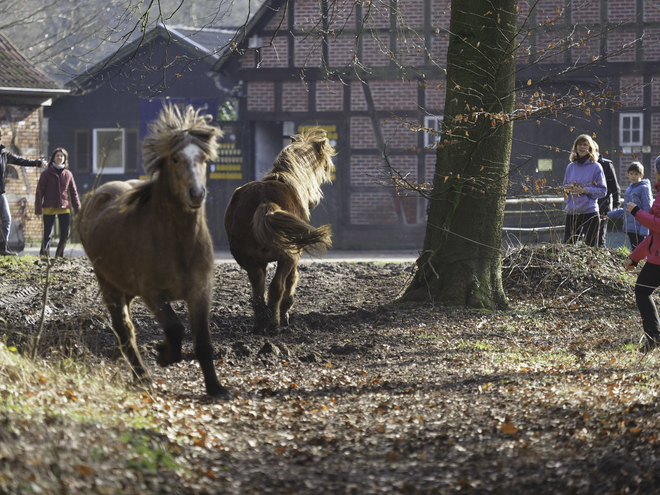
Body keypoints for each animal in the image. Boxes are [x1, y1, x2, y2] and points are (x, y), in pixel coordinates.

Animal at [76, 105, 227, 400]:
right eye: (176, 159)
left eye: (203, 158)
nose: (196, 193)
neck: (178, 241)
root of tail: (95, 196)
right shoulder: (153, 293)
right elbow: (175, 327)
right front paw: (164, 355)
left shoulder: (200, 291)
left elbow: (203, 340)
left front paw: (215, 387)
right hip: (108, 282)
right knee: (125, 329)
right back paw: (142, 374)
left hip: (126, 288)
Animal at [224, 129, 336, 334]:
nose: (314, 201)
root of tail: (265, 201)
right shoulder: (294, 258)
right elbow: (291, 281)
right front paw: (285, 313)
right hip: (288, 256)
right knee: (276, 287)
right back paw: (275, 322)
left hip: (246, 258)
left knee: (258, 287)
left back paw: (260, 323)